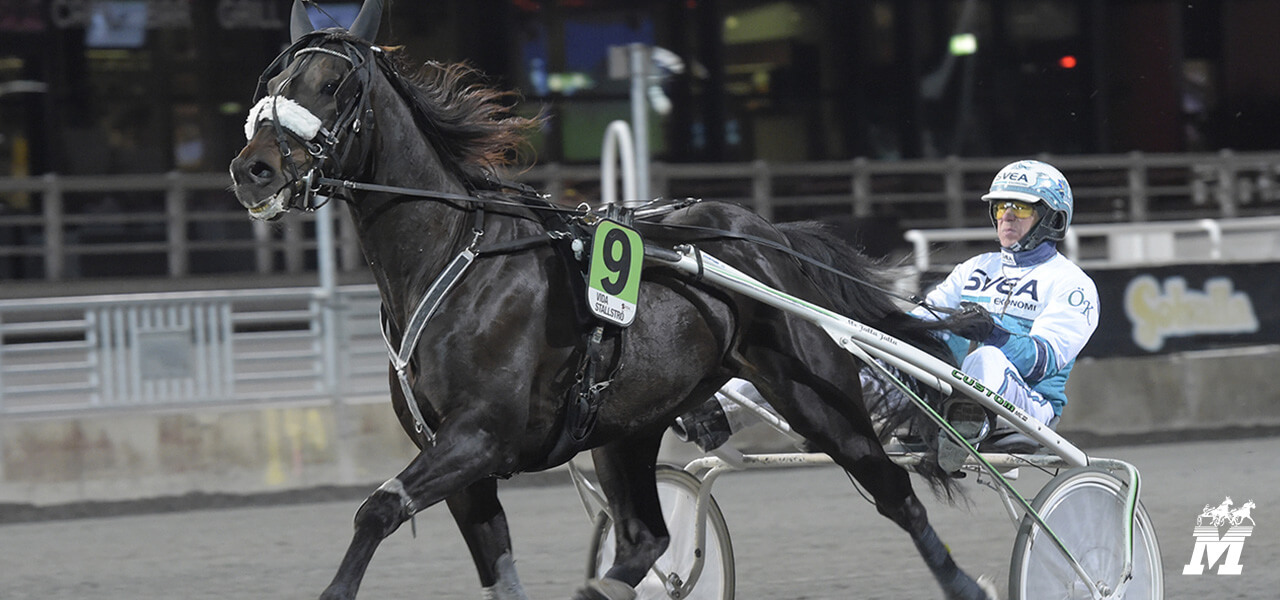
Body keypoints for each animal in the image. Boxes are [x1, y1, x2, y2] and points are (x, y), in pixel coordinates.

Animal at [227, 2, 988, 596]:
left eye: (333, 83)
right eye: (273, 80)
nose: (252, 169)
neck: (451, 261)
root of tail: (765, 233)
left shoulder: (479, 436)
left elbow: (377, 510)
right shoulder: (461, 462)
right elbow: (493, 569)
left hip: (817, 399)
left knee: (896, 495)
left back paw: (966, 581)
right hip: (626, 427)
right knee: (645, 538)